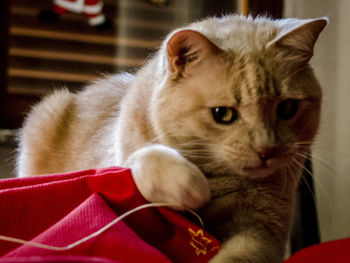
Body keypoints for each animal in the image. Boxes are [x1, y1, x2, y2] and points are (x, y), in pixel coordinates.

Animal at [17, 14, 328, 263]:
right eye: (223, 114)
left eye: (287, 108)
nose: (266, 149)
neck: (222, 178)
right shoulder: (119, 163)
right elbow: (147, 156)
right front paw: (190, 188)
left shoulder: (261, 231)